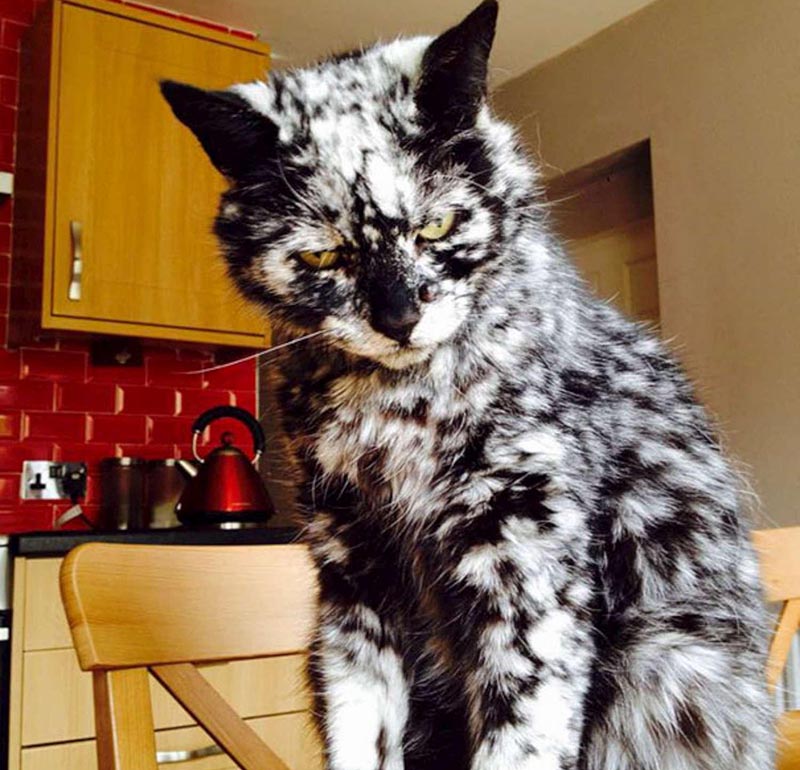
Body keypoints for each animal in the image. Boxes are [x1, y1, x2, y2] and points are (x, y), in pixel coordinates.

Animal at [161, 3, 776, 764]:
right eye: (324, 256)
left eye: (439, 225)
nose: (399, 318)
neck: (397, 413)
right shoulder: (352, 580)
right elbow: (362, 733)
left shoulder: (529, 573)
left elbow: (521, 740)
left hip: (666, 669)